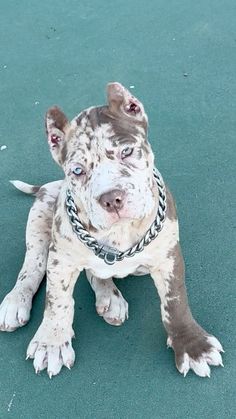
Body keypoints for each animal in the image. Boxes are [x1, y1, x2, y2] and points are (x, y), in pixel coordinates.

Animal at [0, 82, 223, 378]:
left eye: (127, 152)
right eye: (78, 170)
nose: (111, 198)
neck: (120, 233)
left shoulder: (168, 257)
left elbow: (175, 302)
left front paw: (193, 345)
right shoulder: (61, 260)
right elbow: (57, 301)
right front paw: (51, 342)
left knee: (96, 272)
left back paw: (110, 297)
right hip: (39, 220)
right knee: (32, 268)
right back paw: (17, 301)